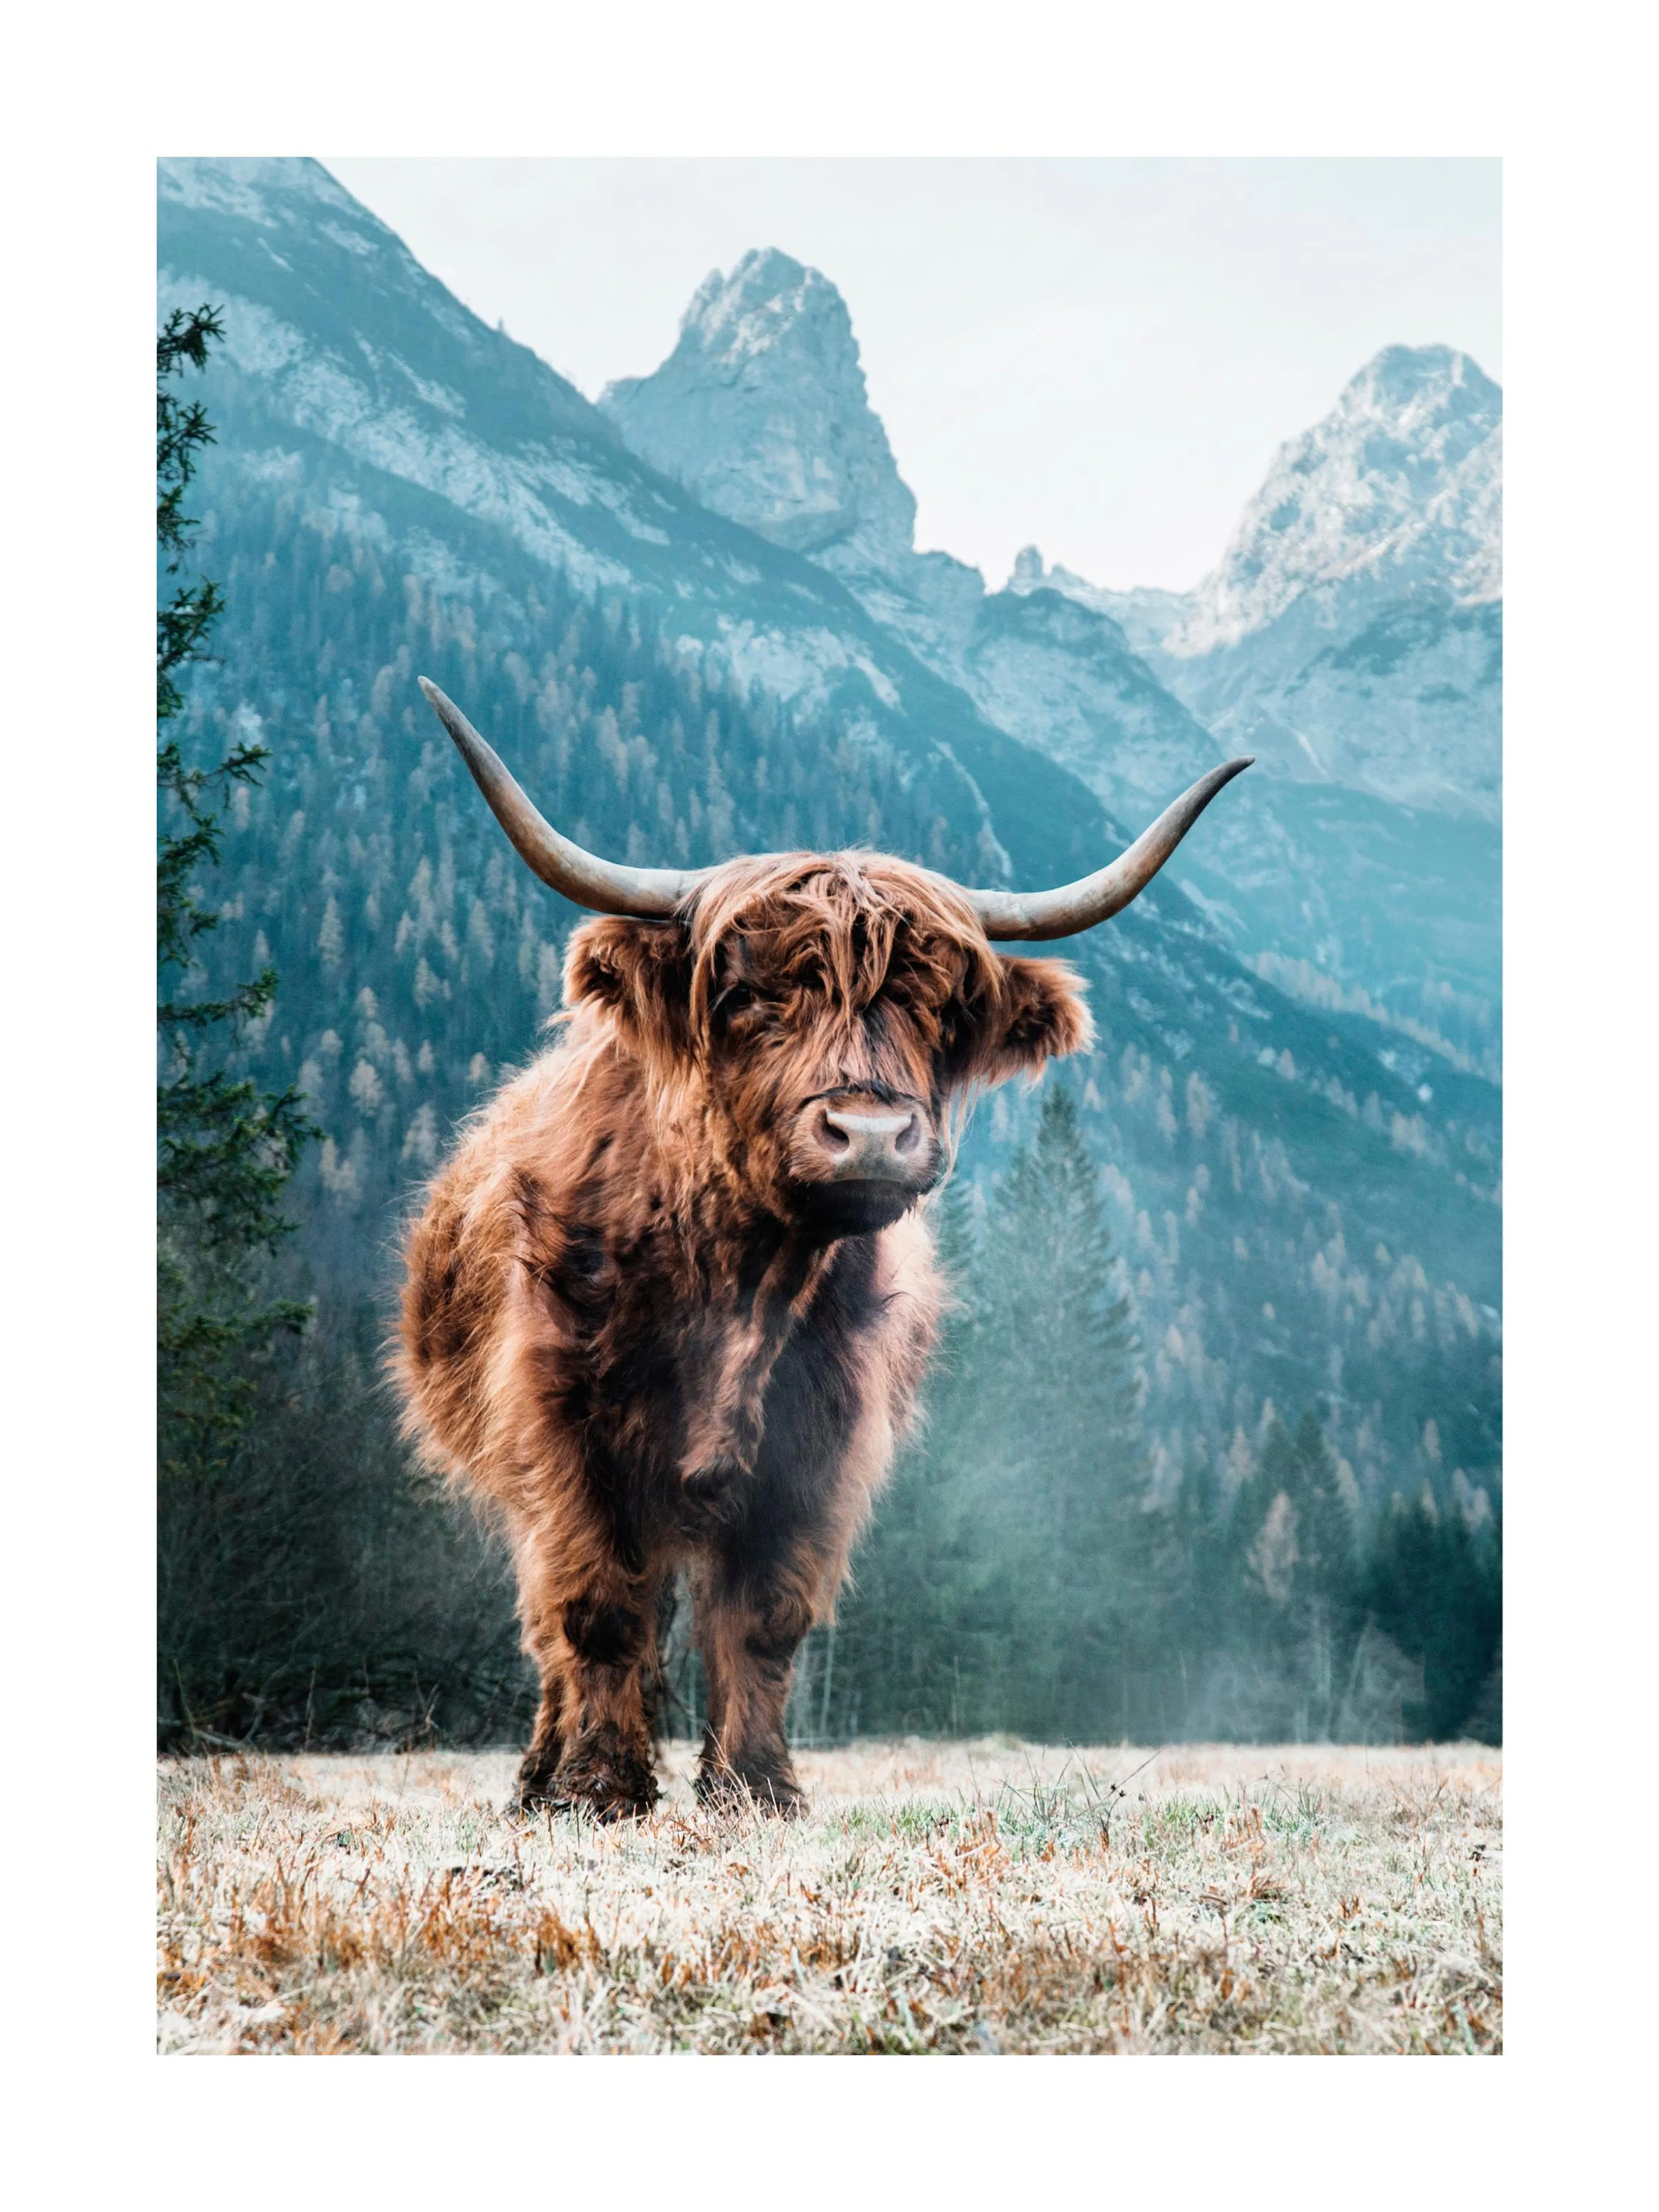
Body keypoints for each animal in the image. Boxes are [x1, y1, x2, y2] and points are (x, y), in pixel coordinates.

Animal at [395, 679, 1249, 1820]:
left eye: (937, 1007)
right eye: (750, 997)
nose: (871, 1133)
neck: (739, 1278)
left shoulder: (820, 1451)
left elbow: (764, 1618)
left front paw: (756, 1787)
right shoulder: (564, 1433)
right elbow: (597, 1604)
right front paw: (598, 1787)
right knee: (552, 1623)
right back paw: (539, 1777)